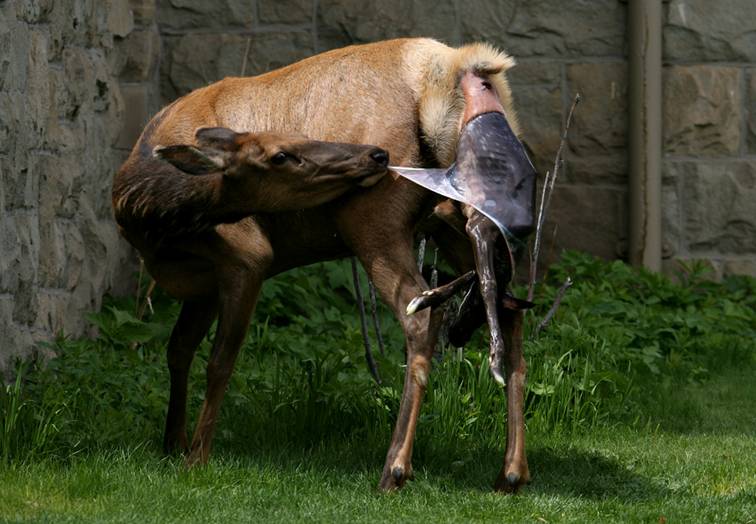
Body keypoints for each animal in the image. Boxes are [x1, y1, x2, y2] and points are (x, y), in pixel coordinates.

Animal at [113, 39, 536, 494]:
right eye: (282, 152)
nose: (373, 157)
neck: (153, 217)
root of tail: (456, 66)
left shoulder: (246, 257)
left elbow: (219, 361)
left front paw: (196, 457)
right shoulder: (203, 286)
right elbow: (178, 350)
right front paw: (171, 443)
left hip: (374, 220)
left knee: (422, 314)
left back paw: (395, 468)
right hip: (453, 215)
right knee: (508, 308)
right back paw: (511, 472)